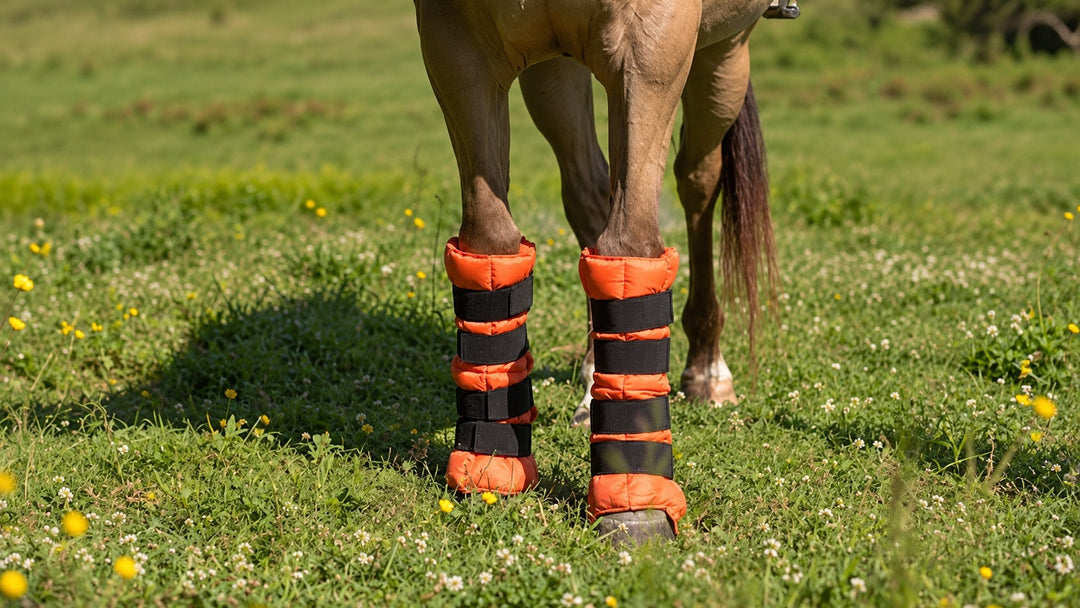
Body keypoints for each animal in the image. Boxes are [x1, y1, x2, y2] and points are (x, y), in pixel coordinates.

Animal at [415, 0, 781, 543]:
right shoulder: (454, 42)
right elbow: (489, 238)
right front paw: (489, 469)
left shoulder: (654, 44)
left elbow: (630, 240)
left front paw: (635, 503)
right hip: (556, 68)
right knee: (591, 189)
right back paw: (592, 387)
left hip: (724, 52)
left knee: (696, 181)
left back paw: (707, 367)